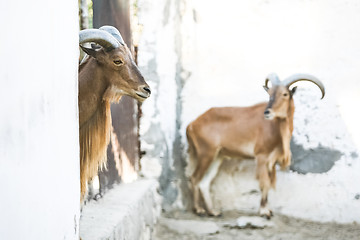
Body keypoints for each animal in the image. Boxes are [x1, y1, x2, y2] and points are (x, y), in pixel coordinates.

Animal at [187, 73, 324, 218]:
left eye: (285, 94)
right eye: (269, 93)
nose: (267, 112)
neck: (275, 127)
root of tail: (191, 125)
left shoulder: (271, 161)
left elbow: (269, 183)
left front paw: (267, 209)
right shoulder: (261, 156)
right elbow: (264, 183)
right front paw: (264, 211)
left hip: (217, 156)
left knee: (204, 182)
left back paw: (213, 211)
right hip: (206, 153)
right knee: (194, 178)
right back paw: (199, 209)